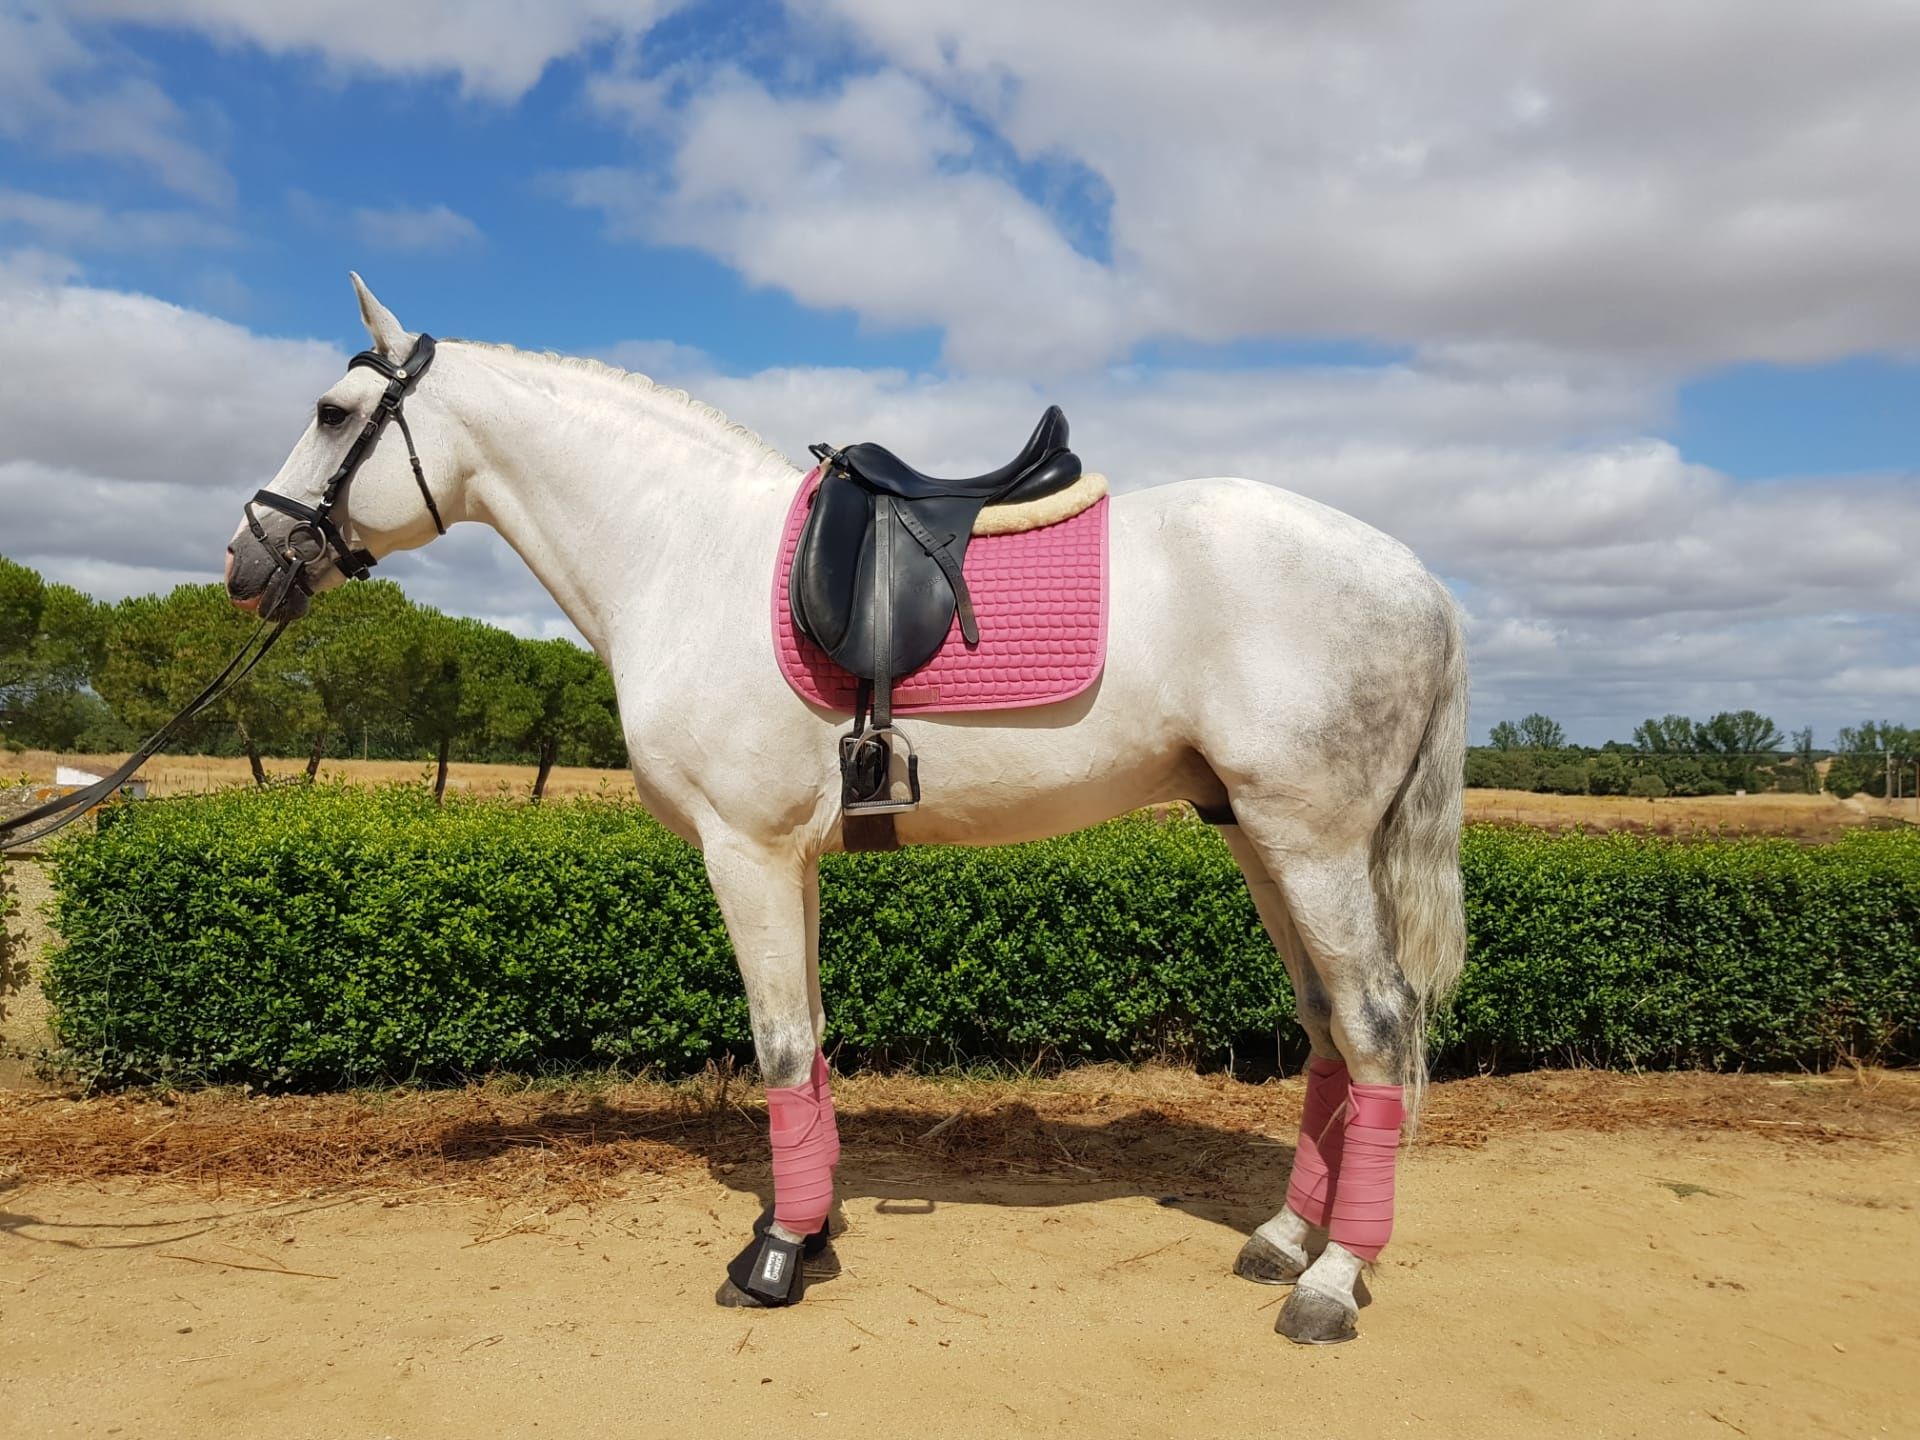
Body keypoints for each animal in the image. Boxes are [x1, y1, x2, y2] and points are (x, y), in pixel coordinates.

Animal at [224, 282, 1459, 1351]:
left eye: (332, 414)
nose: (246, 558)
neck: (685, 555)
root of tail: (1419, 579)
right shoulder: (794, 860)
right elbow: (811, 1043)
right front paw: (812, 1235)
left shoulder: (747, 853)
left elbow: (777, 1046)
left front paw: (772, 1257)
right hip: (1257, 836)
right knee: (1327, 1027)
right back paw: (1286, 1238)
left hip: (1312, 843)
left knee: (1379, 1026)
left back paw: (1332, 1281)